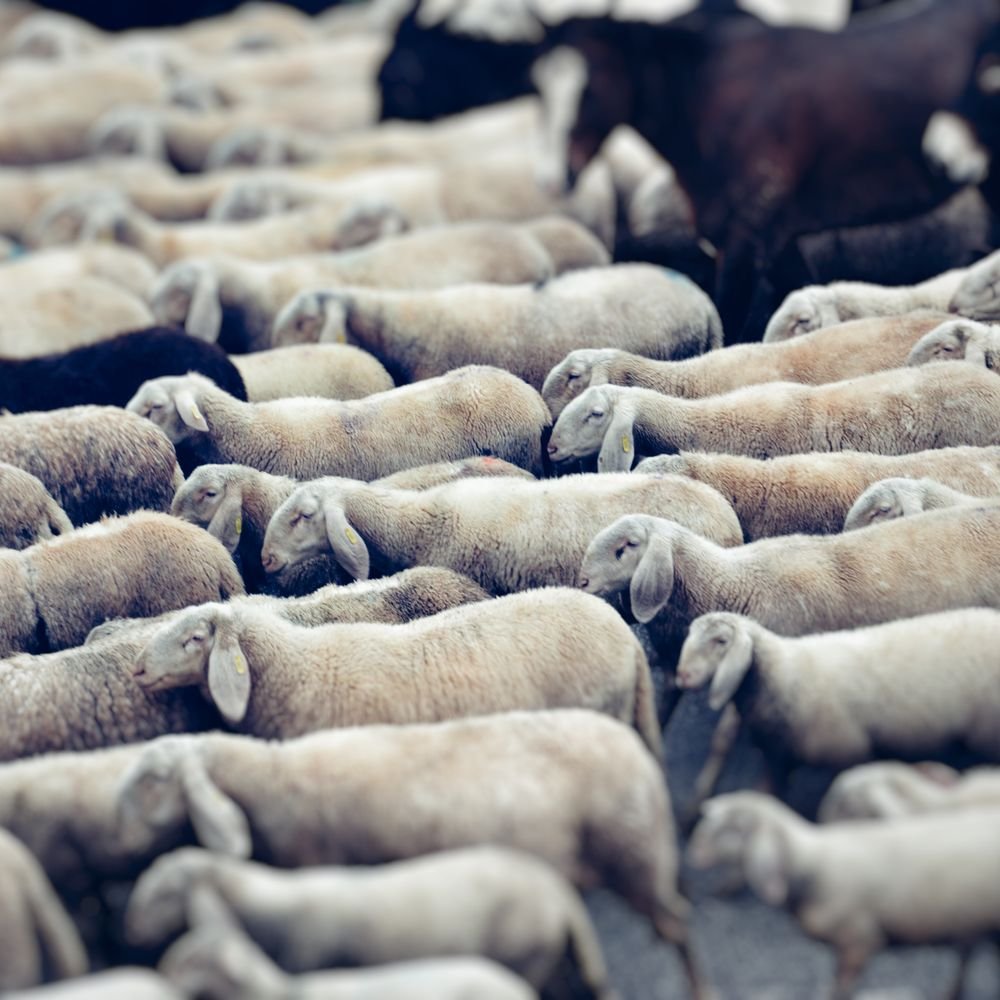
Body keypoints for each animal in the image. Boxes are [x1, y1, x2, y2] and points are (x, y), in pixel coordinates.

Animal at [674, 608, 1000, 798]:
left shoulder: (846, 751)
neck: (784, 674)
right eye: (688, 636)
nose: (682, 676)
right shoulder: (777, 755)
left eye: (720, 641)